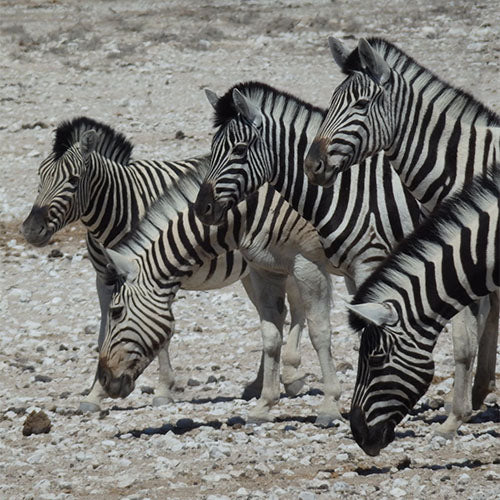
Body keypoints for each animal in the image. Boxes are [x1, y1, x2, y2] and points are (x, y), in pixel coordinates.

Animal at [96, 182, 340, 424]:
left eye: (116, 312)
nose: (104, 380)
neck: (244, 215)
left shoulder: (306, 262)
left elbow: (319, 331)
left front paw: (330, 405)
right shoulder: (266, 267)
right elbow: (271, 334)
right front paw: (266, 403)